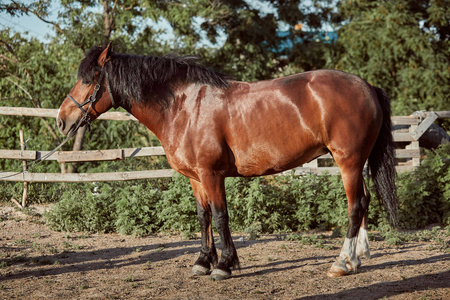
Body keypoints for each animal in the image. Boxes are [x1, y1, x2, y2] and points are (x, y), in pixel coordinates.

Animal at [57, 45, 398, 282]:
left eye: (88, 79)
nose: (62, 120)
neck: (184, 107)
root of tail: (367, 86)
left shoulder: (212, 175)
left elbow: (221, 217)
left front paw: (223, 265)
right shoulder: (195, 178)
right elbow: (203, 216)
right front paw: (203, 262)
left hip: (348, 161)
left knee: (356, 205)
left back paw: (341, 263)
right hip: (357, 163)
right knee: (365, 202)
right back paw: (358, 257)